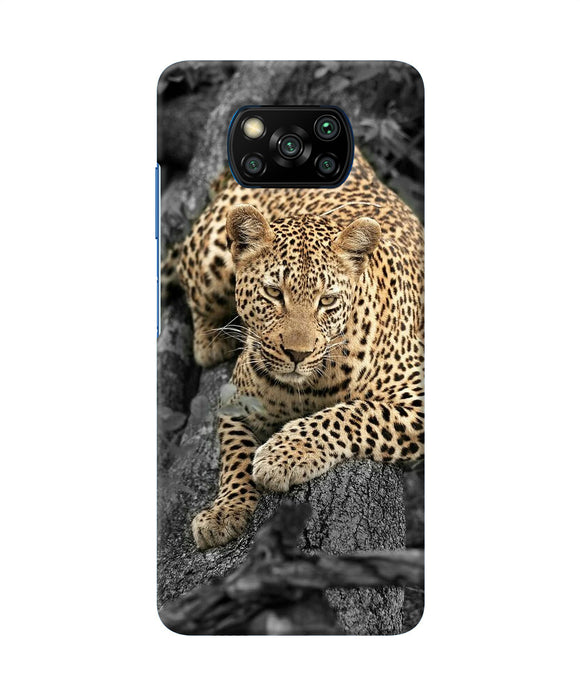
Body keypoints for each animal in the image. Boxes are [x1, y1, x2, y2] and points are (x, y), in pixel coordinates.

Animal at [168, 147, 424, 550]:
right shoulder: (234, 400)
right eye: (274, 293)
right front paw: (225, 511)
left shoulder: (417, 397)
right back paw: (212, 340)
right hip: (211, 257)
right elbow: (235, 453)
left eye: (327, 300)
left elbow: (354, 414)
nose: (297, 354)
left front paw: (282, 455)